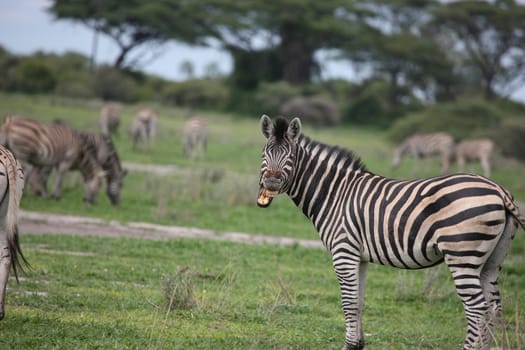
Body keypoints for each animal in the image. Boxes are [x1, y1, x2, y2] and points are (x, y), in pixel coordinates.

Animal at [258, 115, 524, 350]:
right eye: (264, 154)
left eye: (291, 156)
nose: (271, 183)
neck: (335, 193)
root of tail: (499, 190)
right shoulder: (359, 256)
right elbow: (359, 302)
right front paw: (358, 344)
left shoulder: (344, 252)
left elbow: (348, 303)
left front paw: (349, 345)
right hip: (491, 260)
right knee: (494, 308)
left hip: (463, 255)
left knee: (477, 309)